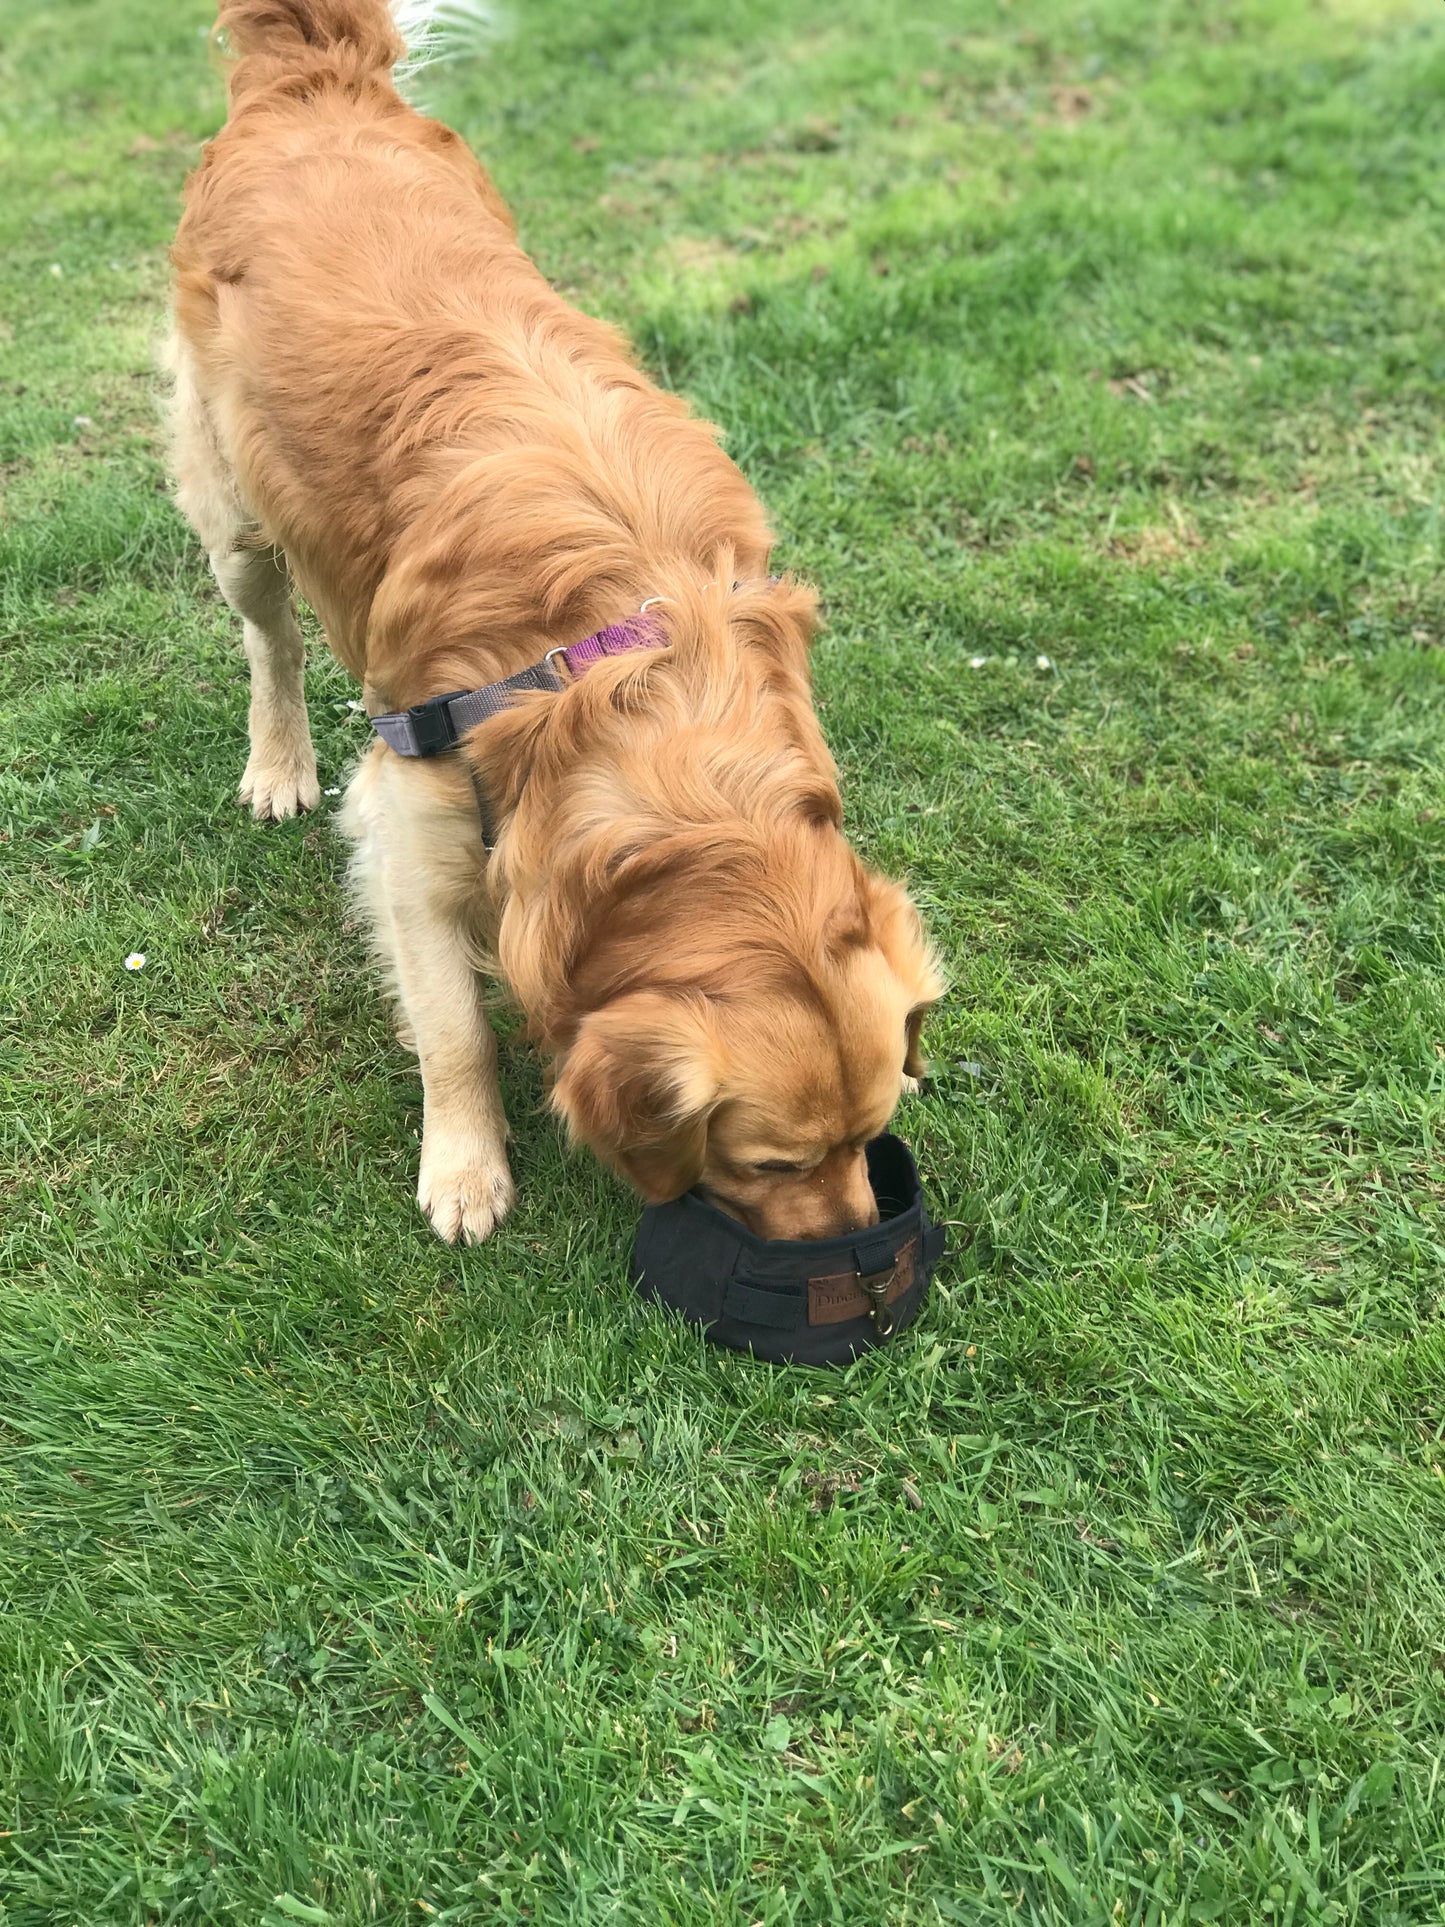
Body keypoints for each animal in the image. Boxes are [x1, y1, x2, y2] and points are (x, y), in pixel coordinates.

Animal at [169, 0, 944, 1248]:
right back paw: (277, 763)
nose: (855, 1257)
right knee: (270, 640)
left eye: (866, 1135)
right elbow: (454, 1025)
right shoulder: (411, 811)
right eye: (771, 1163)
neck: (639, 672)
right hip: (235, 515)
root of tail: (314, 81)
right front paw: (464, 1167)